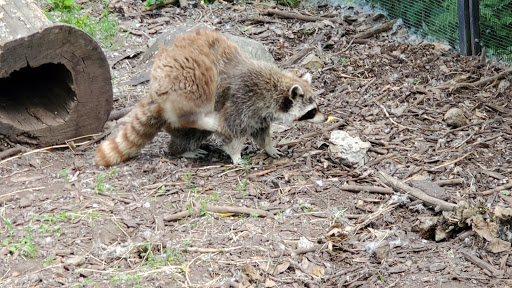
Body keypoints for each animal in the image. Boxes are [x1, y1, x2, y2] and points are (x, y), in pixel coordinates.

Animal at [94, 29, 326, 166]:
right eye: (311, 111)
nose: (324, 119)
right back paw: (185, 143)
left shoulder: (259, 113)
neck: (273, 88)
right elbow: (232, 131)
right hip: (180, 82)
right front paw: (236, 155)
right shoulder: (243, 99)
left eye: (317, 107)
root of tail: (154, 89)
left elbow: (260, 131)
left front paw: (268, 147)